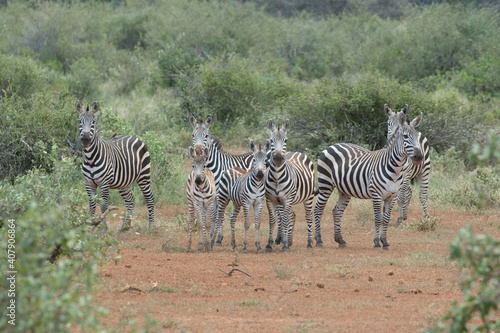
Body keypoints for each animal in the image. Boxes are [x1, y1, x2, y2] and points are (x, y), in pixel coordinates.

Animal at [75, 100, 154, 231]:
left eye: (94, 122)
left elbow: (103, 206)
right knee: (130, 200)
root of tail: (132, 136)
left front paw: (103, 229)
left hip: (144, 176)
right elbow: (92, 205)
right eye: (80, 121)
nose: (86, 139)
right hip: (124, 183)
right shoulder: (88, 183)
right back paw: (126, 226)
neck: (91, 159)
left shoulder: (105, 183)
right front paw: (91, 227)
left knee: (149, 199)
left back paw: (151, 226)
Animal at [190, 113, 256, 245]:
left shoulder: (221, 192)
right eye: (193, 135)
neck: (214, 165)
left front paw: (218, 238)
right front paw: (212, 235)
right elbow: (213, 215)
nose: (198, 151)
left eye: (206, 136)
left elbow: (217, 215)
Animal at [264, 119, 314, 252]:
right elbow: (272, 221)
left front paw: (285, 245)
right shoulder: (270, 200)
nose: (277, 157)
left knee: (308, 217)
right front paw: (269, 244)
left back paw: (309, 243)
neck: (277, 177)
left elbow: (285, 221)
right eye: (271, 140)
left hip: (309, 196)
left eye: (285, 140)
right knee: (291, 215)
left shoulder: (287, 200)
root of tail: (297, 152)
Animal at [314, 104, 424, 249]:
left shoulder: (392, 196)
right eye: (405, 136)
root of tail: (332, 145)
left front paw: (385, 242)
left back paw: (340, 240)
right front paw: (377, 242)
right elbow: (378, 219)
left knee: (337, 211)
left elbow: (386, 219)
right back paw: (319, 240)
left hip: (344, 190)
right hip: (325, 184)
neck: (395, 169)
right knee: (318, 209)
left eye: (418, 136)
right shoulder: (376, 195)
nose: (419, 157)